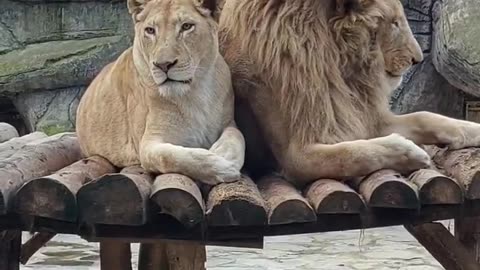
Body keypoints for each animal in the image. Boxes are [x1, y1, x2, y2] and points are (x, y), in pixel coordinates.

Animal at [78, 0, 248, 186]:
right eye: (150, 30)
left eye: (186, 26)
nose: (163, 65)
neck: (195, 90)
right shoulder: (148, 144)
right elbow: (172, 157)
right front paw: (222, 167)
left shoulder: (229, 122)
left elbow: (238, 137)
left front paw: (225, 156)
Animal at [219, 0, 480, 186]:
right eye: (394, 23)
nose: (417, 59)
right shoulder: (294, 157)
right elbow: (354, 153)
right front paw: (409, 152)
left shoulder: (363, 118)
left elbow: (425, 116)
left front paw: (473, 130)